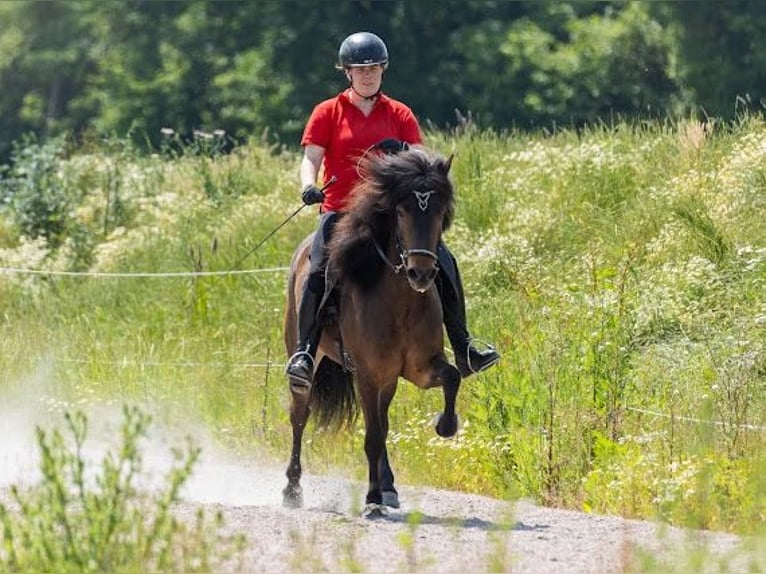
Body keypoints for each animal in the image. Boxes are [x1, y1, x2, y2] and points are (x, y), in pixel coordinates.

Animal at [282, 149, 462, 516]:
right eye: (402, 211)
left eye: (439, 212)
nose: (421, 273)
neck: (401, 302)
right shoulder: (367, 372)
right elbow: (373, 437)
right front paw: (373, 498)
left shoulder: (416, 369)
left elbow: (451, 377)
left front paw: (445, 425)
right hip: (307, 356)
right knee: (300, 415)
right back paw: (292, 490)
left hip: (387, 379)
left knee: (379, 419)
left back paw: (388, 485)